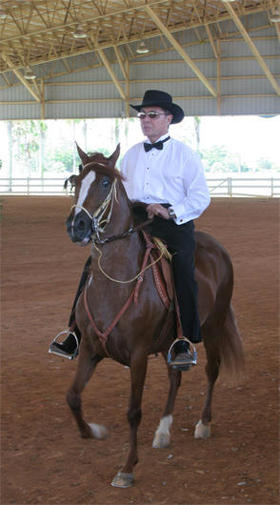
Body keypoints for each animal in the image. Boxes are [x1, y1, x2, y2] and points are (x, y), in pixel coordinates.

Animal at [63, 144, 243, 486]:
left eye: (105, 182)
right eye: (76, 181)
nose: (76, 226)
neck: (115, 282)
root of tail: (217, 248)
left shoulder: (138, 355)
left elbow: (133, 411)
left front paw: (127, 468)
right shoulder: (91, 349)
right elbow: (73, 397)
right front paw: (95, 431)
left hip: (212, 326)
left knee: (211, 370)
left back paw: (203, 424)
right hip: (173, 342)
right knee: (176, 378)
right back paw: (163, 431)